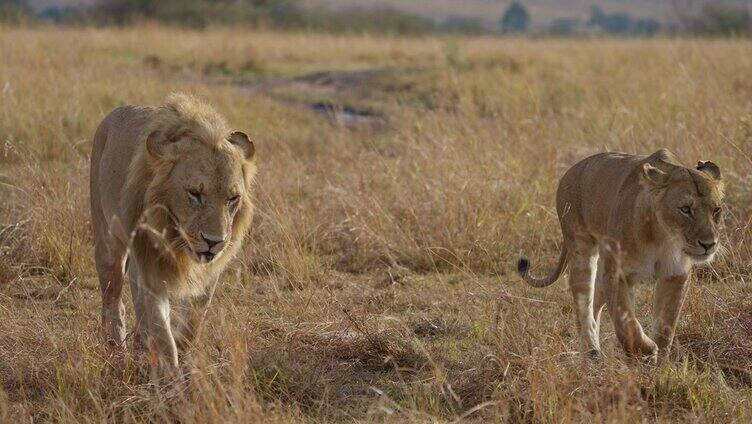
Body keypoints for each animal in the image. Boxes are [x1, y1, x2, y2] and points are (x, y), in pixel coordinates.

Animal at [89, 93, 256, 372]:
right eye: (194, 193)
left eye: (233, 198)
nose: (214, 242)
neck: (175, 238)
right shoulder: (148, 267)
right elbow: (160, 332)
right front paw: (170, 375)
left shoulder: (208, 275)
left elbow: (193, 324)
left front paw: (182, 355)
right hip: (108, 245)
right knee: (113, 302)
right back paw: (117, 351)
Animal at [516, 150, 724, 362]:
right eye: (685, 209)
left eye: (716, 210)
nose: (709, 244)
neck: (662, 236)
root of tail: (571, 171)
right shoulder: (616, 273)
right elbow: (625, 320)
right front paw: (645, 350)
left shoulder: (676, 275)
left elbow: (666, 324)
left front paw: (661, 361)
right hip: (581, 249)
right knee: (583, 303)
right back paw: (592, 352)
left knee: (596, 299)